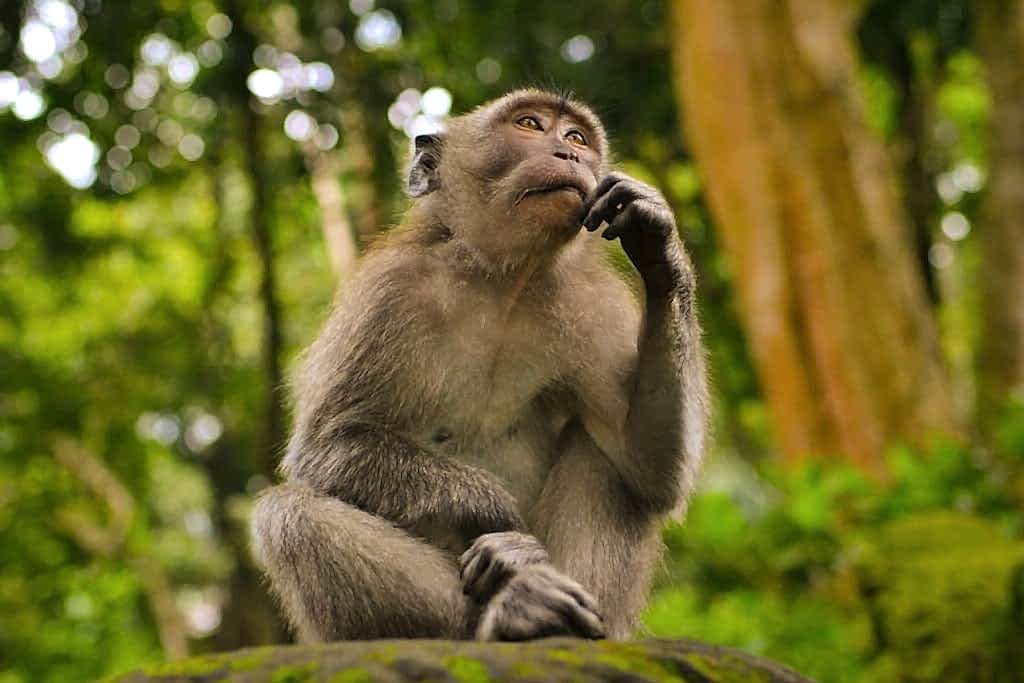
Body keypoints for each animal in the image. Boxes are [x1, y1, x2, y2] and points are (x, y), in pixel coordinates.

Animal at [250, 88, 708, 643]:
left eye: (577, 137)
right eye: (530, 125)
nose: (570, 154)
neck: (500, 281)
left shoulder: (593, 306)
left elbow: (650, 467)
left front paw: (657, 240)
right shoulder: (387, 293)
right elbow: (326, 447)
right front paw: (501, 521)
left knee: (606, 457)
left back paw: (572, 623)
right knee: (288, 513)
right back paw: (513, 608)